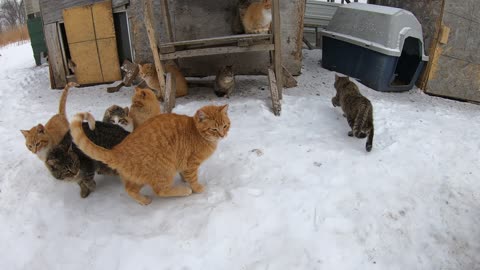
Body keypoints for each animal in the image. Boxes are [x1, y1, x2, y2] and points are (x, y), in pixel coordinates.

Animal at [69, 104, 231, 206]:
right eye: (214, 129)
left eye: (225, 126)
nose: (223, 135)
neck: (196, 132)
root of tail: (117, 150)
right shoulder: (191, 164)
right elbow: (193, 179)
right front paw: (197, 188)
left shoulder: (183, 164)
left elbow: (184, 175)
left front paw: (185, 180)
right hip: (165, 170)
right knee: (160, 190)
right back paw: (184, 191)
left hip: (137, 177)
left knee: (129, 189)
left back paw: (144, 201)